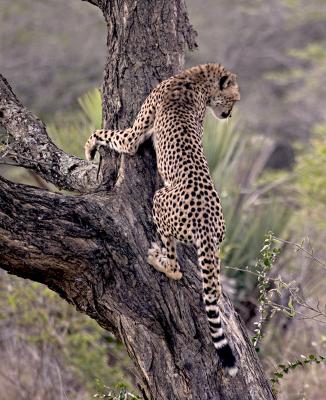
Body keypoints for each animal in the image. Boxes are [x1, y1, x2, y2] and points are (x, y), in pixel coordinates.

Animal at [85, 63, 241, 376]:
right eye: (233, 99)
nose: (228, 115)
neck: (197, 79)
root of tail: (208, 225)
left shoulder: (134, 136)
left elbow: (107, 134)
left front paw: (89, 146)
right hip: (217, 243)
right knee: (215, 288)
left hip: (159, 199)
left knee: (177, 267)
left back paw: (160, 260)